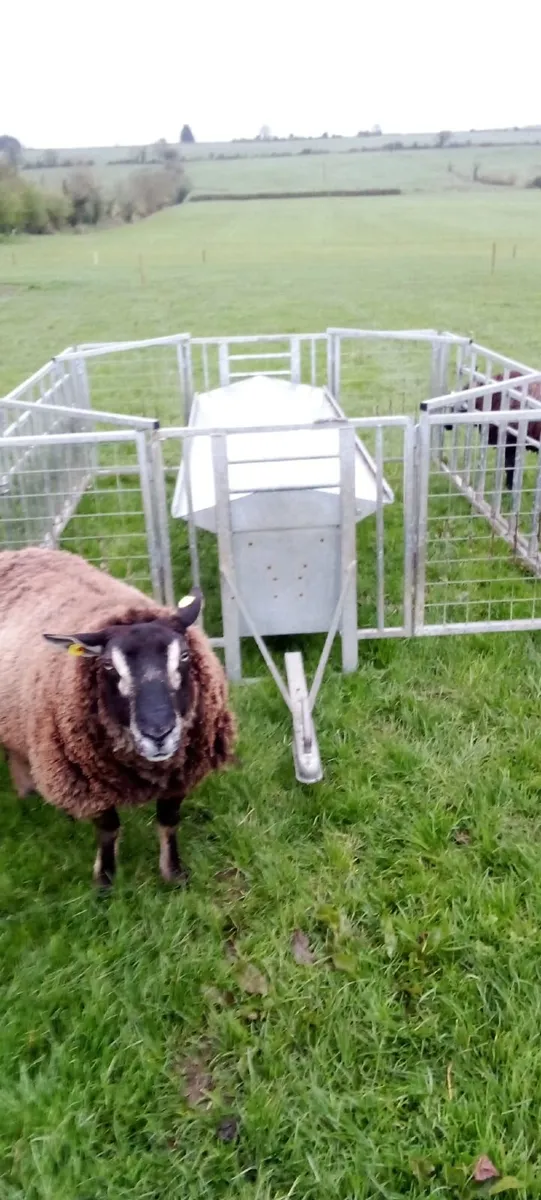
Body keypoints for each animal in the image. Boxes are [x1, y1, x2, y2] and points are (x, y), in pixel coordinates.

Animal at [0, 547, 237, 888]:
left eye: (184, 655)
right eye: (109, 666)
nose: (158, 733)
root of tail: (18, 551)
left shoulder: (181, 772)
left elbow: (168, 821)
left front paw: (173, 873)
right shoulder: (89, 780)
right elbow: (108, 828)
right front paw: (105, 881)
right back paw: (27, 794)